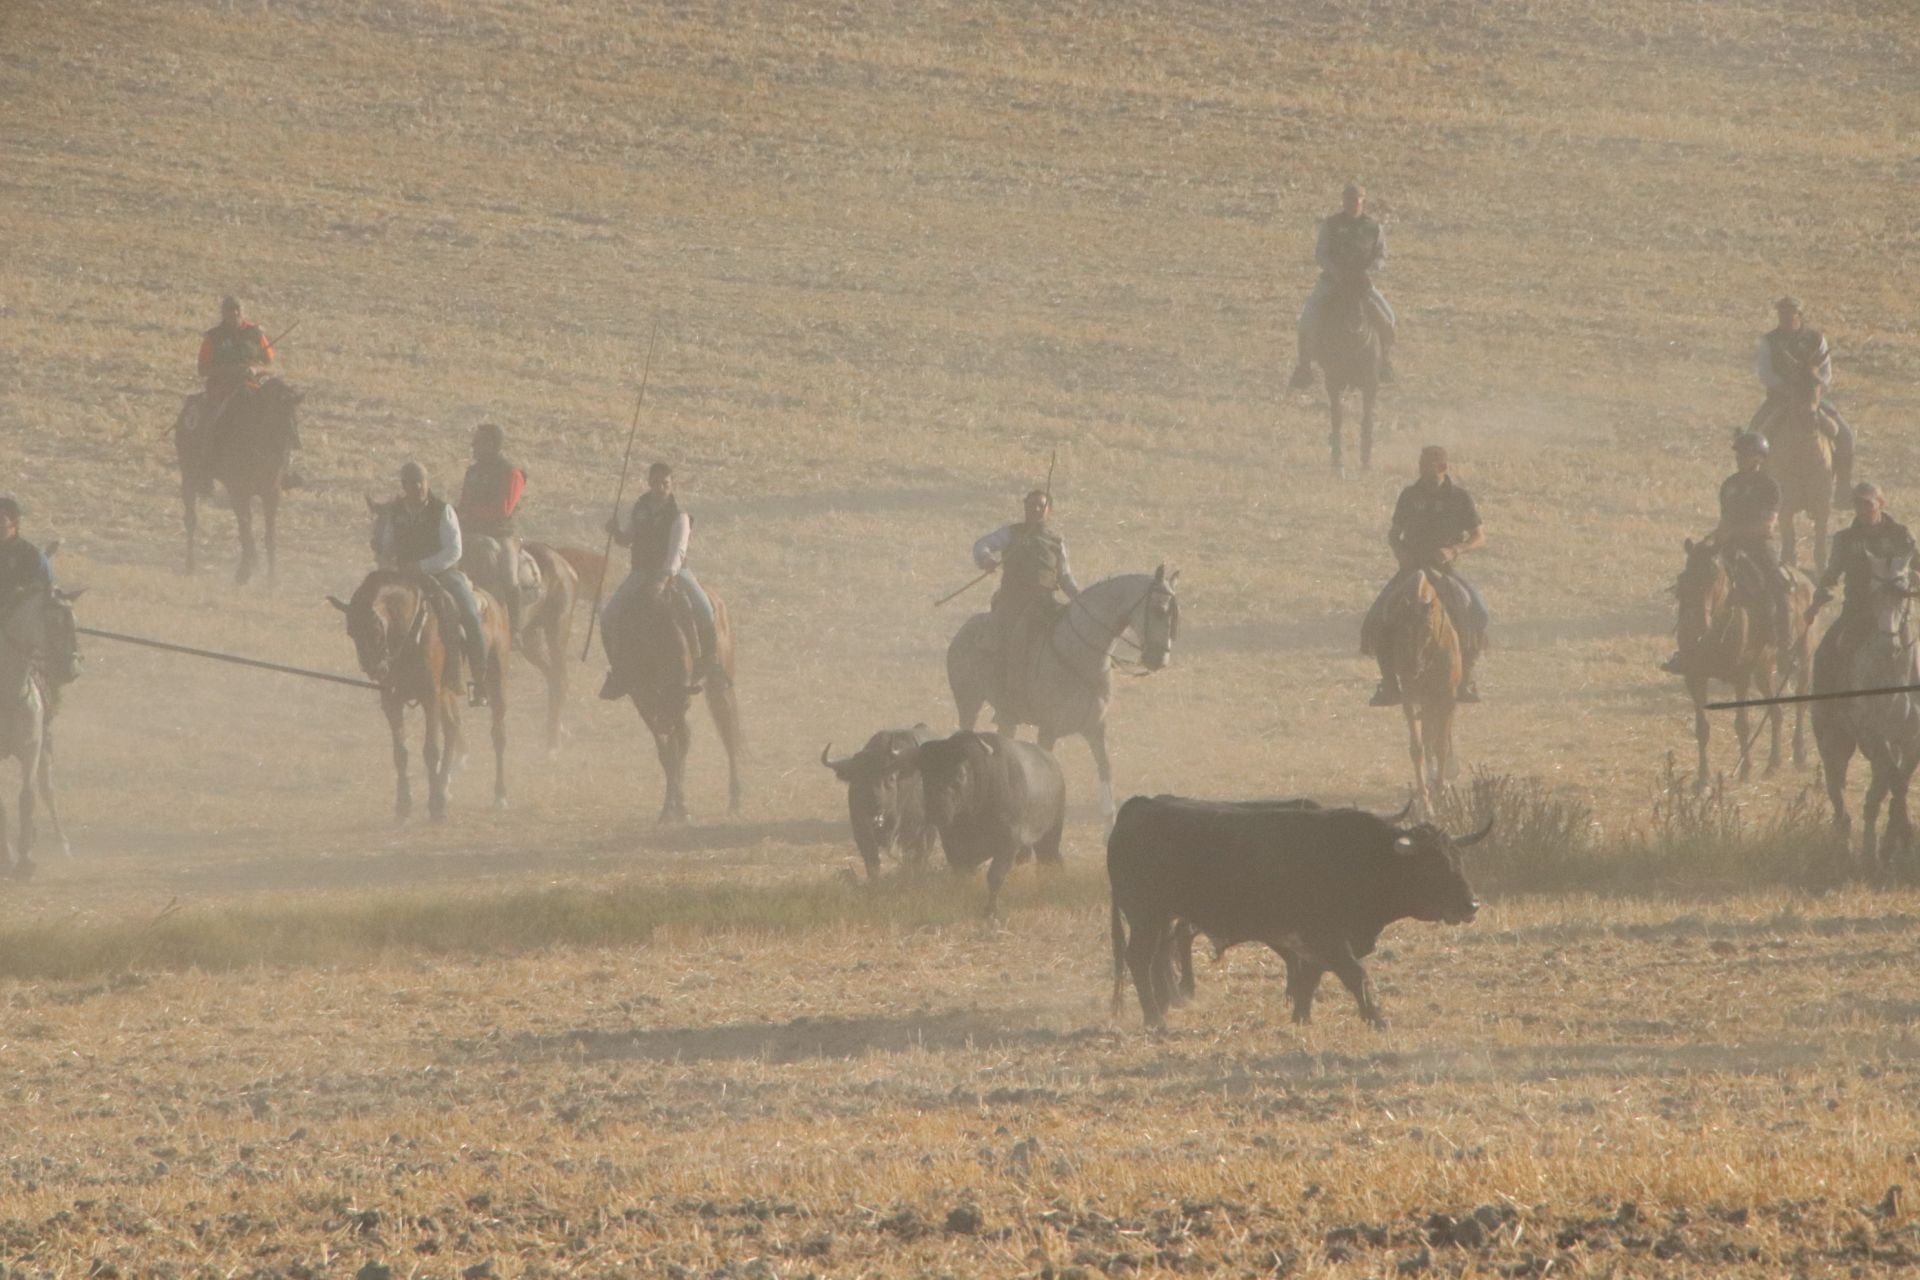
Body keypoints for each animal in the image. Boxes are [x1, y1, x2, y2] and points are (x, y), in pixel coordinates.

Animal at [173, 378, 303, 583]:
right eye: (276, 415)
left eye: (294, 416)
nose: (292, 445)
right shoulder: (238, 492)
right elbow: (245, 528)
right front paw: (243, 572)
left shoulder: (271, 493)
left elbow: (269, 534)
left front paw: (271, 578)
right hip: (189, 477)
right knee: (191, 519)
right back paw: (190, 565)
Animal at [330, 571, 510, 821]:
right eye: (351, 632)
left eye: (376, 629)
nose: (376, 669)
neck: (410, 633)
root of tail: (491, 601)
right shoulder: (392, 701)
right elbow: (401, 752)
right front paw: (404, 806)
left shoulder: (430, 697)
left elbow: (430, 750)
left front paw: (434, 806)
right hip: (446, 691)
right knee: (452, 727)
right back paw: (444, 790)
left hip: (495, 678)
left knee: (498, 734)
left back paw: (499, 795)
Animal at [821, 725, 940, 886]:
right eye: (858, 778)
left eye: (890, 778)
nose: (874, 802)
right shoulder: (861, 832)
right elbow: (872, 862)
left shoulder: (913, 831)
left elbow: (912, 857)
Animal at [940, 568, 1175, 821]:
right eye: (1159, 609)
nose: (1159, 659)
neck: (1080, 654)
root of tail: (963, 631)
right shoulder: (1048, 730)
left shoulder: (1095, 728)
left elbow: (1105, 772)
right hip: (968, 704)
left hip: (1006, 717)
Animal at [1113, 790, 1482, 1028]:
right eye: (1432, 866)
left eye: (1458, 860)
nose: (1472, 904)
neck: (1357, 856)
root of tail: (1138, 805)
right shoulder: (1328, 937)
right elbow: (1355, 974)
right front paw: (1378, 1019)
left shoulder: (1319, 941)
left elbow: (1311, 976)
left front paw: (1301, 1017)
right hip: (1146, 915)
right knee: (1140, 959)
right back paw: (1155, 1020)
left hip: (1161, 918)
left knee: (1156, 958)